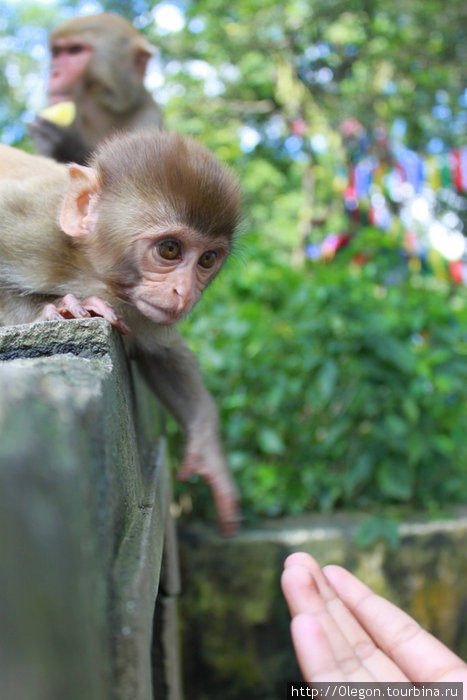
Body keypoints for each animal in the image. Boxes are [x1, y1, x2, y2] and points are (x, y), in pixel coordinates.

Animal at [0, 131, 241, 536]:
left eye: (207, 259)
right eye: (170, 249)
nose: (184, 293)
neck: (90, 269)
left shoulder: (141, 310)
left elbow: (163, 354)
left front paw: (210, 453)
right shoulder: (25, 225)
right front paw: (55, 307)